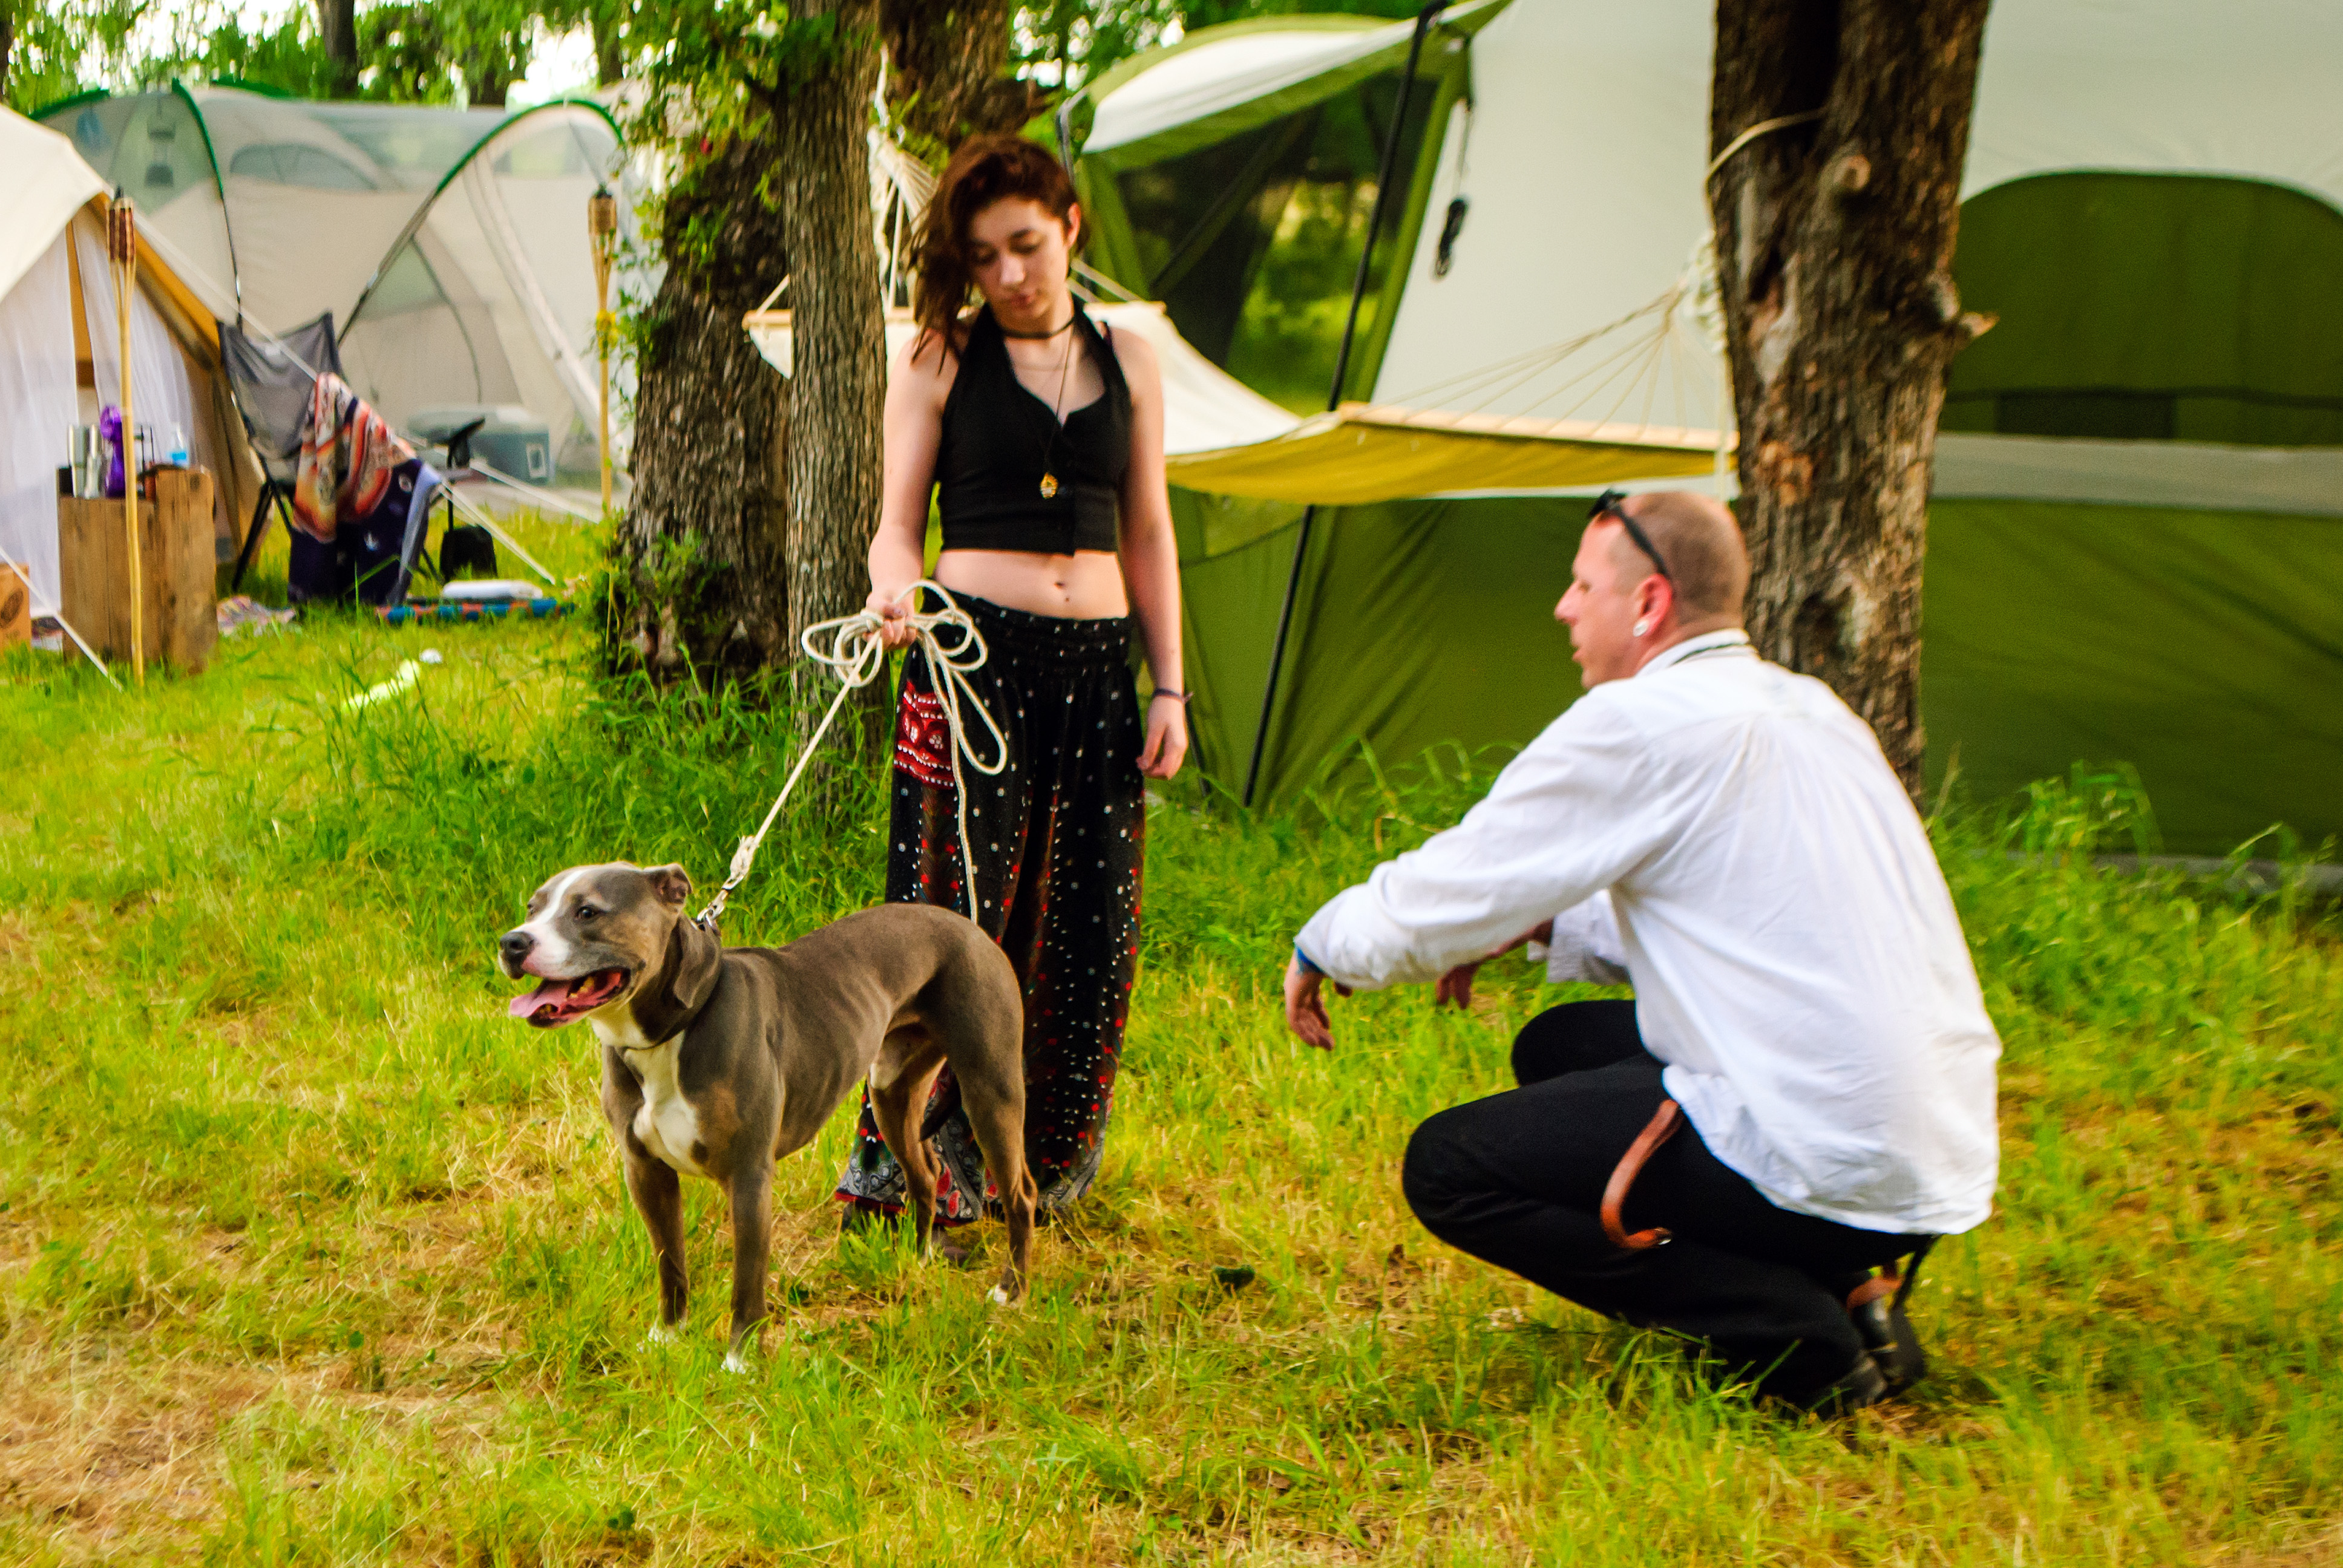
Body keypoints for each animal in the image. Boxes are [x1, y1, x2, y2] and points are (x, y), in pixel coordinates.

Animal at [496, 862, 1035, 1370]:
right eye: (531, 908)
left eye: (588, 912)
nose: (512, 942)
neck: (677, 1025)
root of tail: (967, 926)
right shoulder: (646, 1171)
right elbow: (670, 1261)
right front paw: (668, 1336)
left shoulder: (748, 1176)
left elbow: (746, 1279)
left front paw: (738, 1361)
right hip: (891, 1091)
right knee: (926, 1173)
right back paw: (917, 1260)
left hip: (990, 1087)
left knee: (1019, 1193)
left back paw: (1012, 1291)